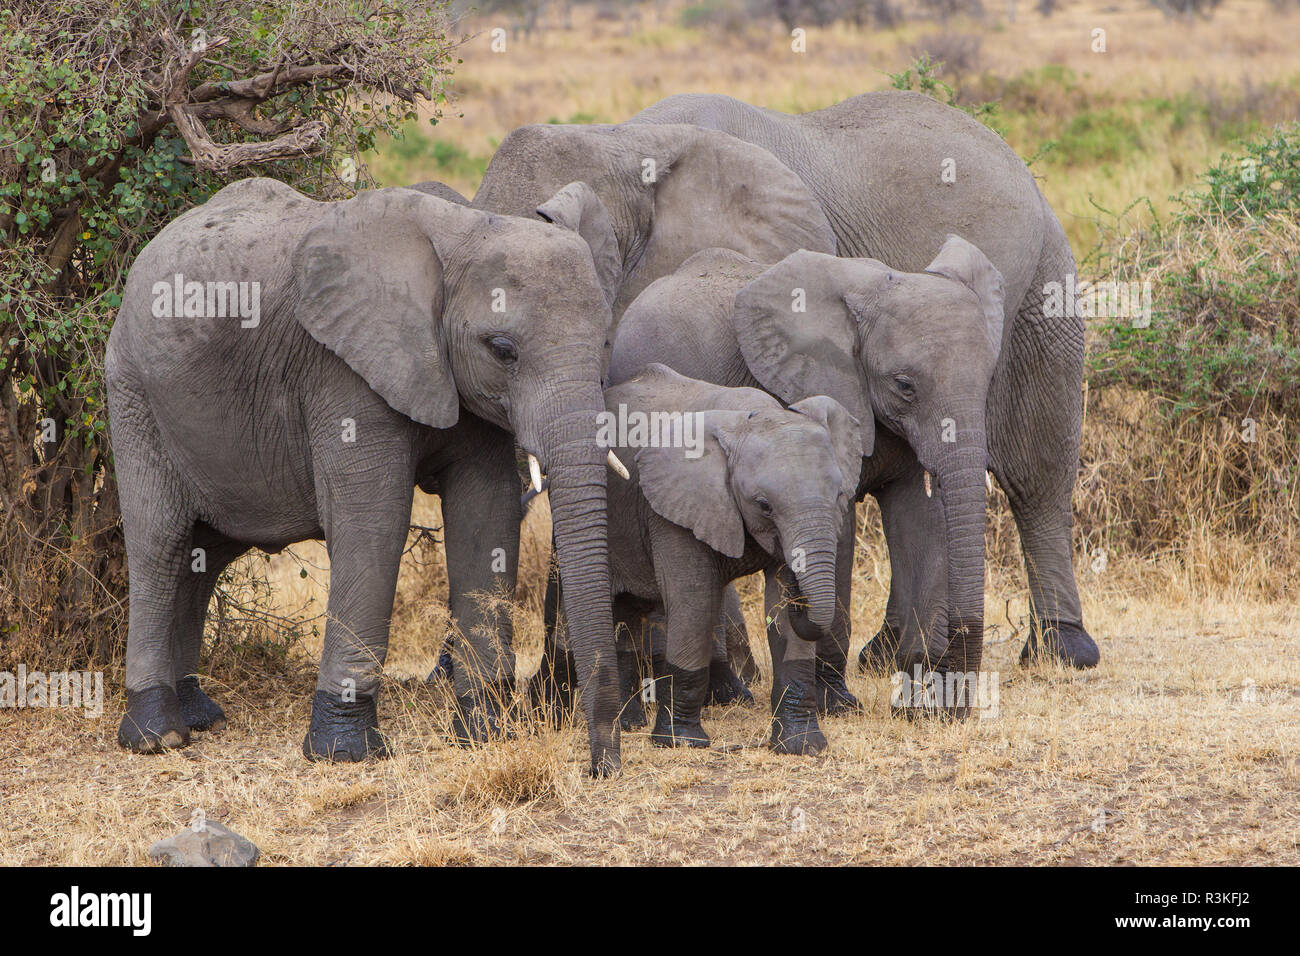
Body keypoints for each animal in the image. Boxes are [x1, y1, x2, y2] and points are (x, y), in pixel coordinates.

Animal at [109, 175, 626, 775]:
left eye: (606, 342)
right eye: (502, 350)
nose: (600, 767)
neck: (463, 231)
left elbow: (486, 515)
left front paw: (485, 734)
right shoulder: (342, 370)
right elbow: (372, 523)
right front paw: (345, 752)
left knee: (205, 556)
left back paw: (198, 715)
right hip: (133, 392)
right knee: (161, 543)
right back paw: (157, 735)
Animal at [598, 361, 863, 749]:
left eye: (840, 495)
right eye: (764, 506)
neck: (751, 419)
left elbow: (779, 608)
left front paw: (801, 746)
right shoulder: (673, 507)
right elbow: (694, 602)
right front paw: (682, 742)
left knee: (627, 612)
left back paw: (629, 722)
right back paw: (628, 724)